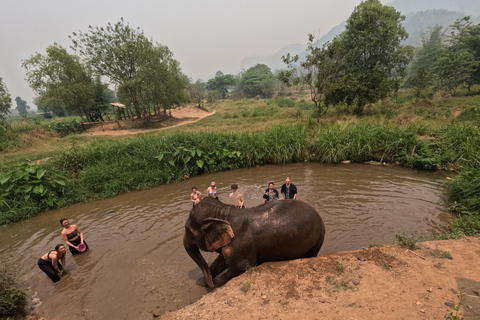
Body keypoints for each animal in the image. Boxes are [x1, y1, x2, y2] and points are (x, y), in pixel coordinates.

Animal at [184, 198, 326, 288]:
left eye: (188, 230)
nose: (211, 284)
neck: (225, 212)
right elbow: (221, 261)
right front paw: (203, 282)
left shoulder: (240, 243)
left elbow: (243, 266)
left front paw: (218, 281)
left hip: (318, 236)